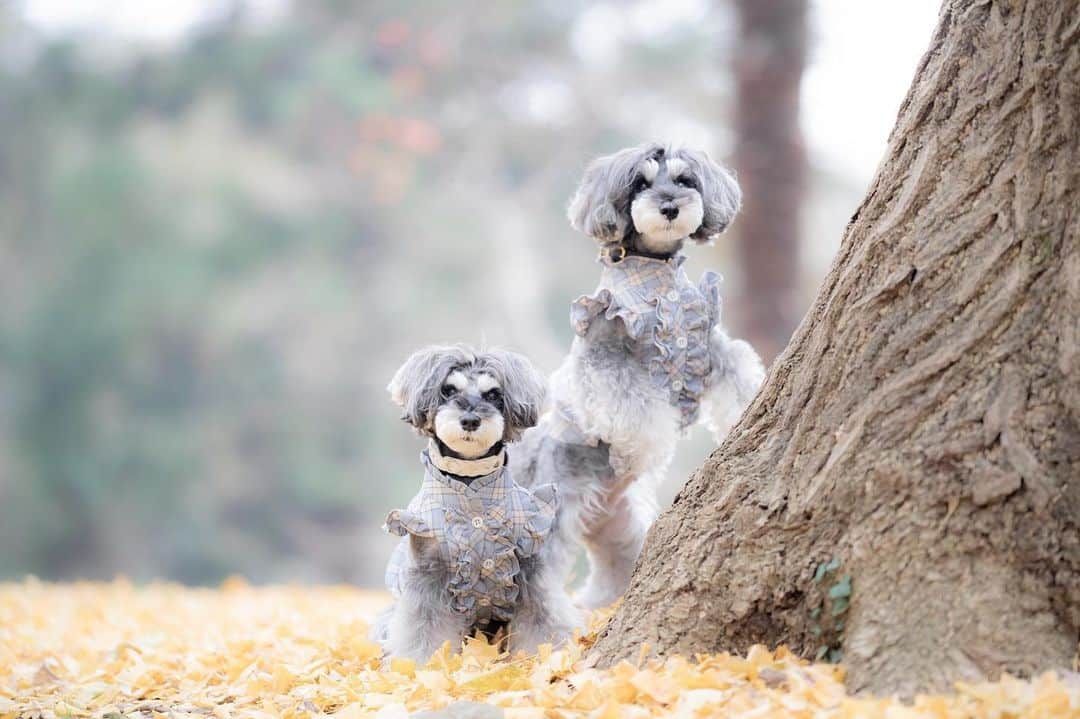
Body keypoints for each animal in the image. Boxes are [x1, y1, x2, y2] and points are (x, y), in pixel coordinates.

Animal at [373, 345, 583, 656]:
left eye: (493, 394)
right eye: (448, 390)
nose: (470, 420)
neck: (470, 478)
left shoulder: (530, 568)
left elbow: (544, 617)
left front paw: (550, 654)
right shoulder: (427, 573)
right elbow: (421, 626)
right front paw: (417, 661)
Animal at [516, 142, 764, 608]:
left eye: (685, 179)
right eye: (640, 184)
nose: (669, 206)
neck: (654, 270)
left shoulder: (710, 345)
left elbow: (742, 375)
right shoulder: (608, 355)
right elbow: (638, 412)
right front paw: (647, 448)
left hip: (619, 528)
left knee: (611, 572)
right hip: (556, 517)